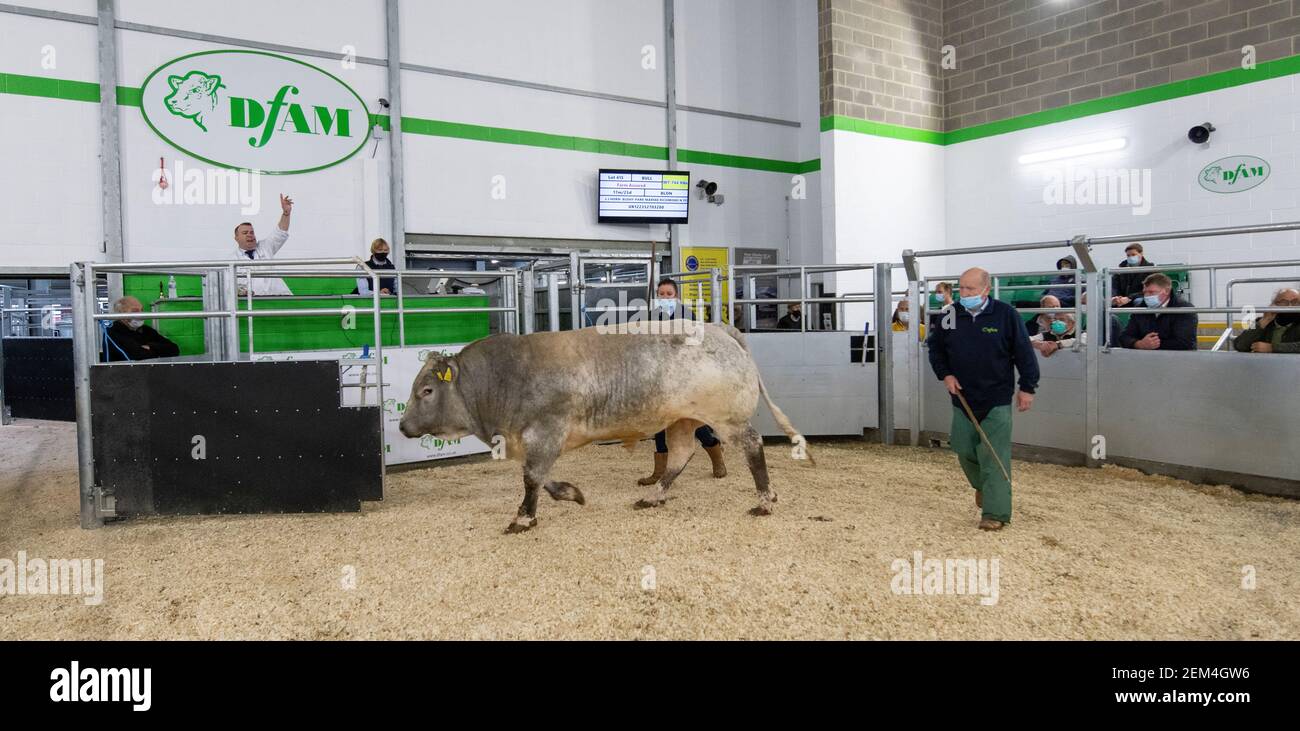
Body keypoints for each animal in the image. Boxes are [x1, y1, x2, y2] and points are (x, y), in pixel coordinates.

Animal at [397, 318, 811, 528]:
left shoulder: (546, 430)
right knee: (680, 455)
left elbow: (532, 477)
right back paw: (653, 496)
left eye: (427, 391)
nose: (402, 428)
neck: (504, 378)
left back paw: (764, 501)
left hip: (726, 416)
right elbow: (540, 476)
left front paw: (523, 518)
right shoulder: (532, 441)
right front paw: (570, 493)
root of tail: (720, 329)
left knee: (753, 447)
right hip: (681, 418)